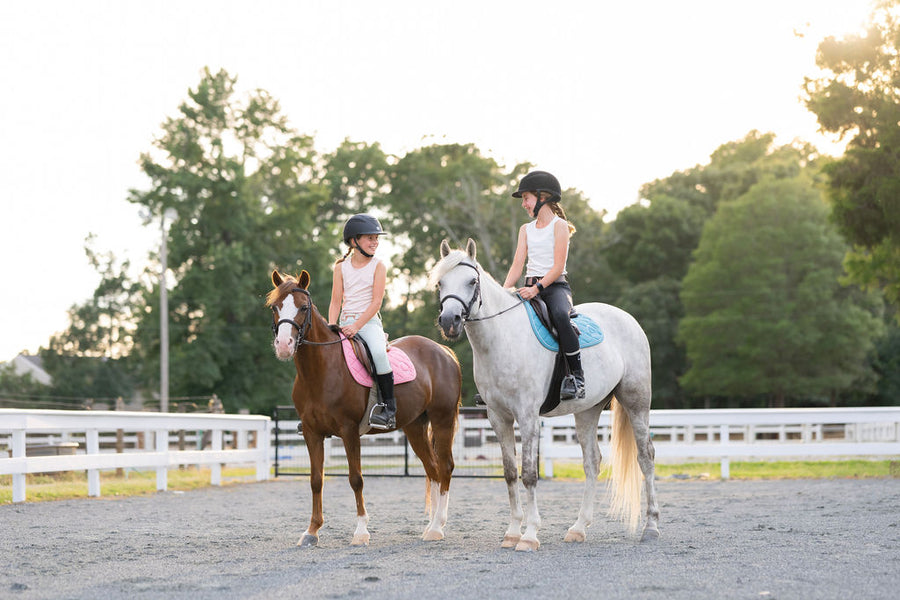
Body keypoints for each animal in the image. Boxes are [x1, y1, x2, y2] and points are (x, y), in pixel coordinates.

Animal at [266, 272, 464, 548]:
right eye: (275, 307)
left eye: (303, 308)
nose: (284, 345)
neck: (321, 370)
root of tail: (444, 351)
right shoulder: (311, 433)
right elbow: (316, 480)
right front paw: (312, 531)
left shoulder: (349, 431)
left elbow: (355, 479)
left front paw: (360, 532)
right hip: (415, 427)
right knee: (432, 469)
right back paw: (431, 525)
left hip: (442, 419)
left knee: (445, 467)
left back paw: (437, 527)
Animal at [432, 239, 656, 548]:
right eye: (440, 283)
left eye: (472, 281)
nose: (449, 320)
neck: (502, 338)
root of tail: (627, 318)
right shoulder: (498, 417)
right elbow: (510, 473)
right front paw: (513, 532)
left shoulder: (527, 416)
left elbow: (528, 473)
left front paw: (529, 535)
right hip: (588, 410)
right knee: (592, 462)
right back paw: (578, 528)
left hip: (636, 401)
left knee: (645, 456)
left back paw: (651, 527)